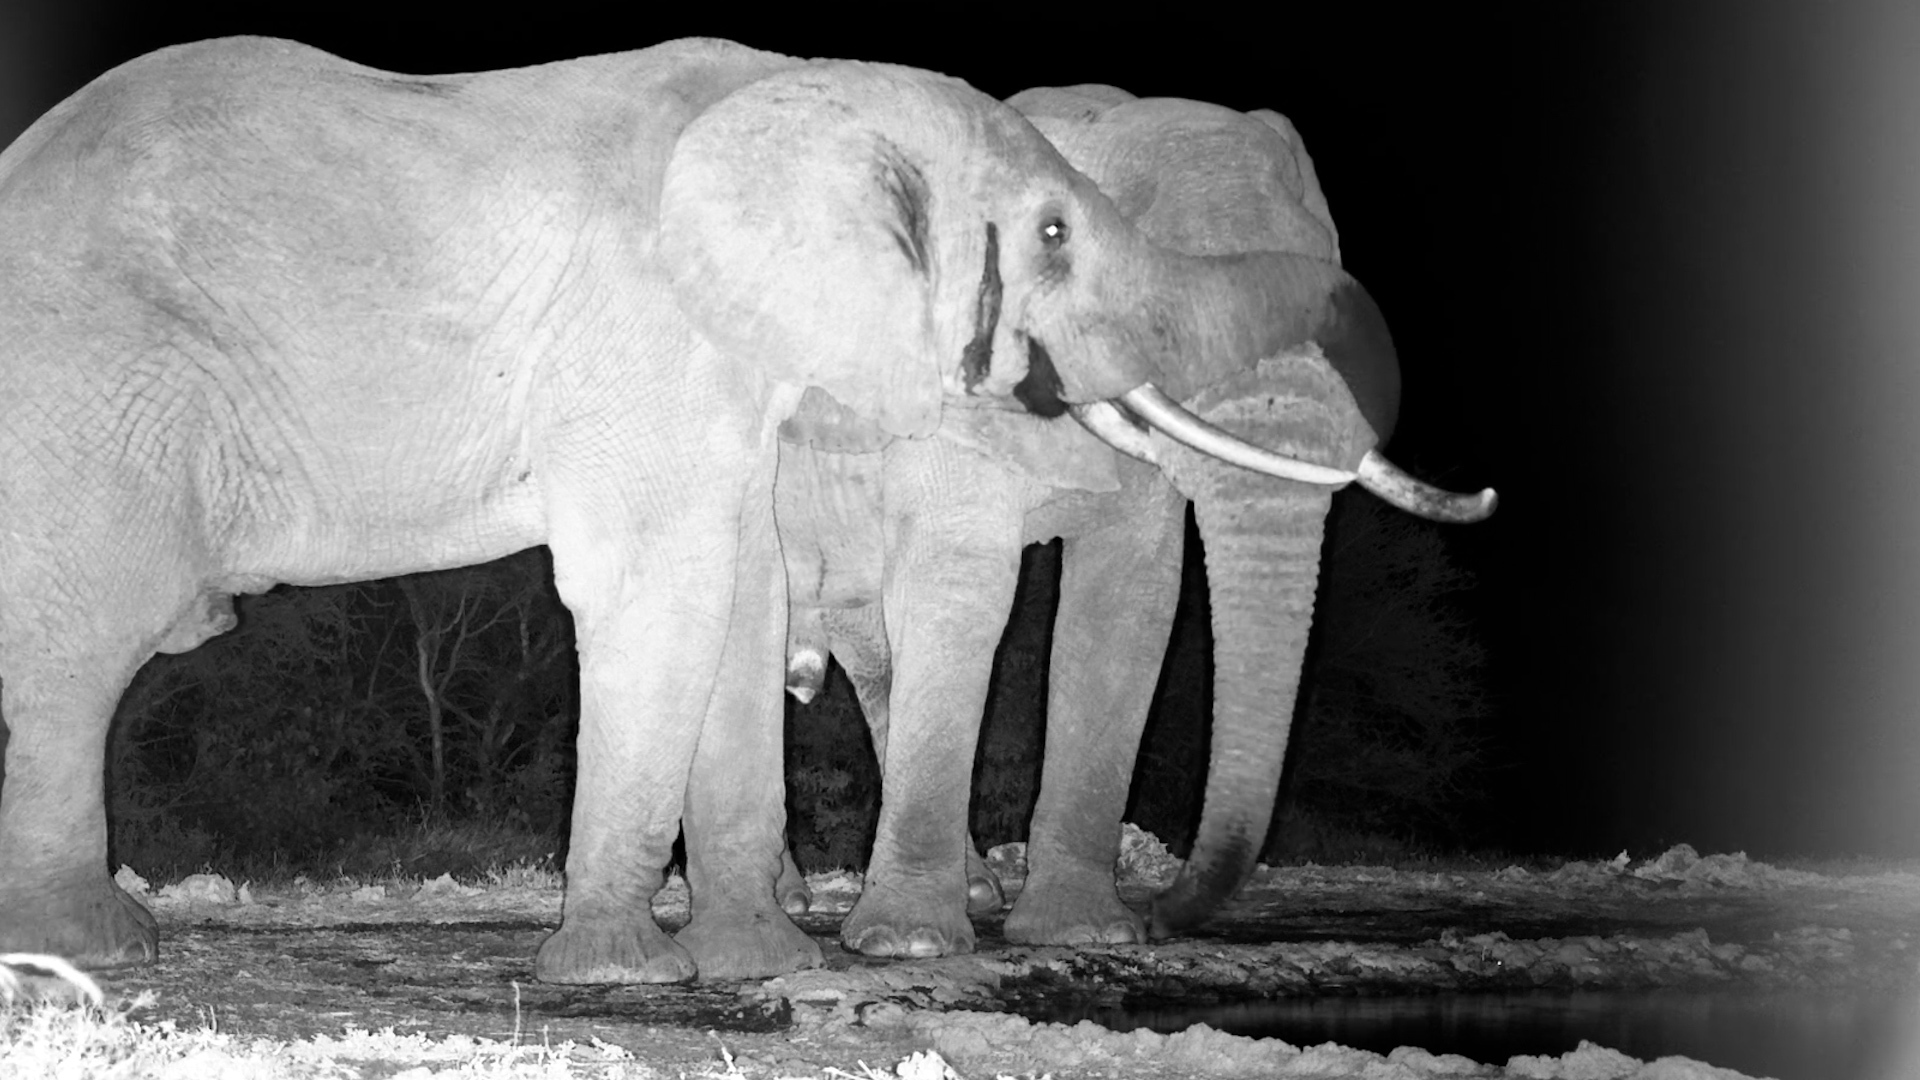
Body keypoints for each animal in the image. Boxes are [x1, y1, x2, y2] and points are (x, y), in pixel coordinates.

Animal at [0, 38, 1398, 982]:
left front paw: (788, 962)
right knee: (86, 638)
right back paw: (98, 943)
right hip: (97, 393)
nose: (1171, 912)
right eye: (1056, 236)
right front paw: (644, 970)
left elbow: (1119, 604)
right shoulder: (673, 336)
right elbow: (714, 581)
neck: (821, 101)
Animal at [774, 85, 1495, 957]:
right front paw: (909, 945)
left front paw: (1083, 934)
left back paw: (961, 889)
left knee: (871, 651)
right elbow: (964, 589)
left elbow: (1126, 603)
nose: (1165, 917)